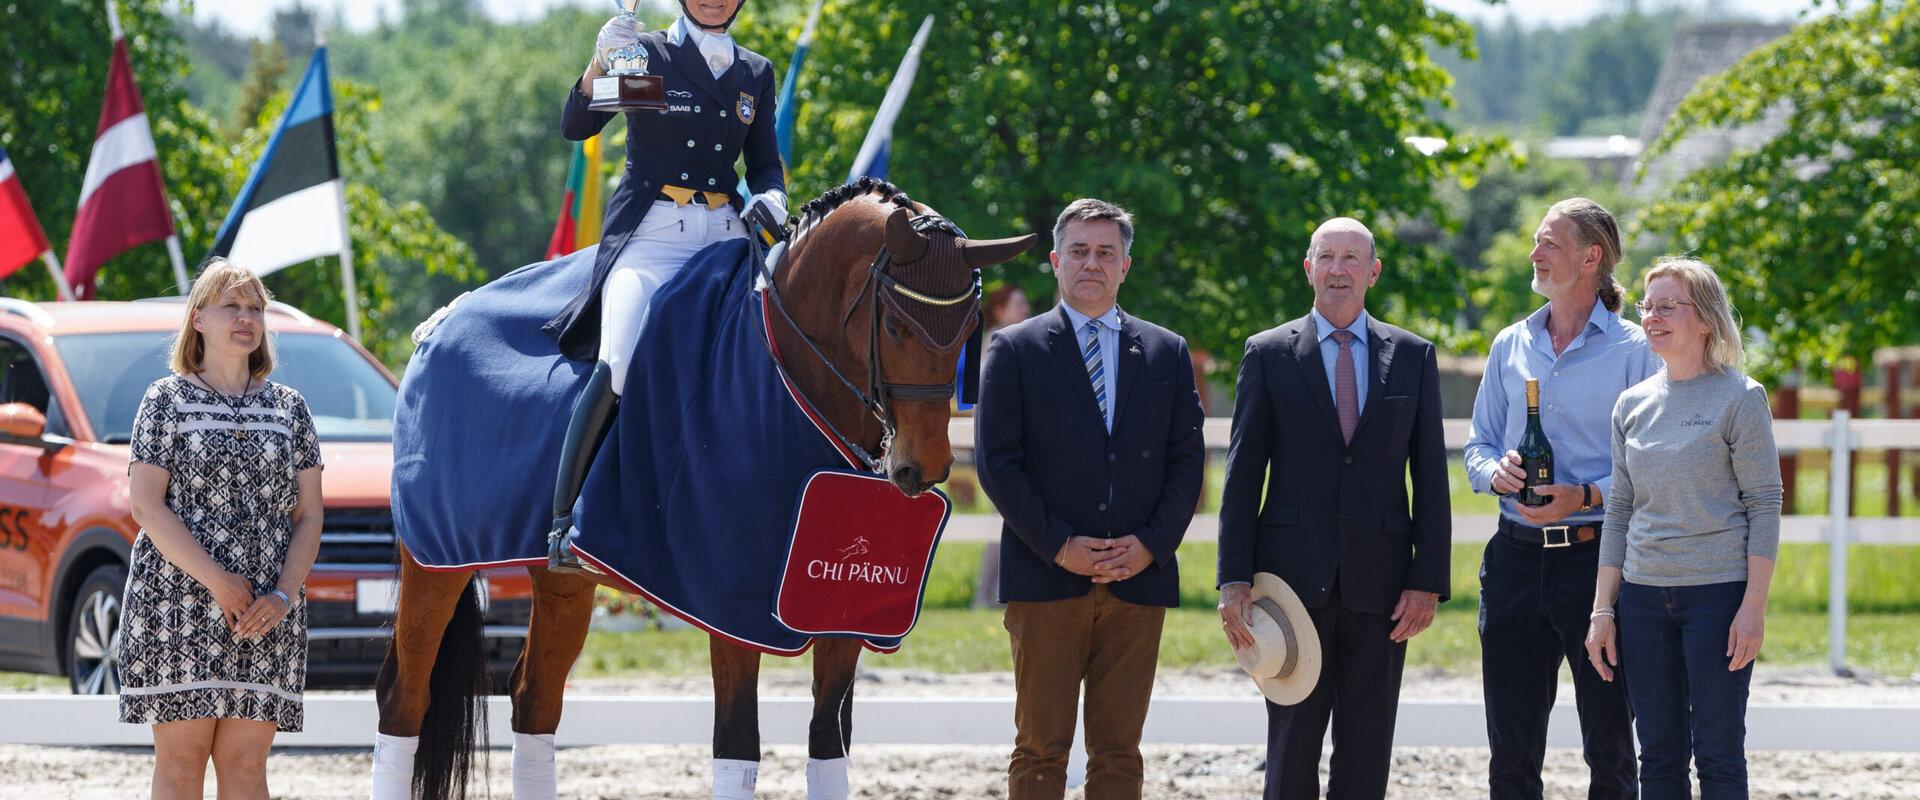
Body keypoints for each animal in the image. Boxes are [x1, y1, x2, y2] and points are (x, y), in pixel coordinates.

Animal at [372, 177, 1036, 794]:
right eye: (897, 325)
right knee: (405, 698)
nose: (922, 468)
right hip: (435, 561)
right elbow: (737, 746)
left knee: (535, 698)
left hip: (559, 578)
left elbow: (829, 745)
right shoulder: (731, 605)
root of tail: (439, 325)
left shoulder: (837, 611)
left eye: (970, 328)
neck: (786, 375)